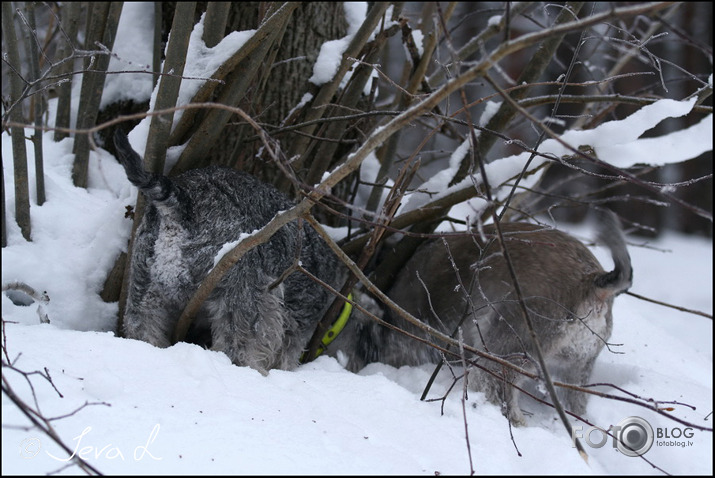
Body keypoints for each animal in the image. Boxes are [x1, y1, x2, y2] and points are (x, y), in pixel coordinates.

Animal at [114, 131, 346, 374]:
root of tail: (182, 202)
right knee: (237, 350)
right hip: (243, 301)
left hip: (145, 293)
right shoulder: (295, 327)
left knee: (144, 328)